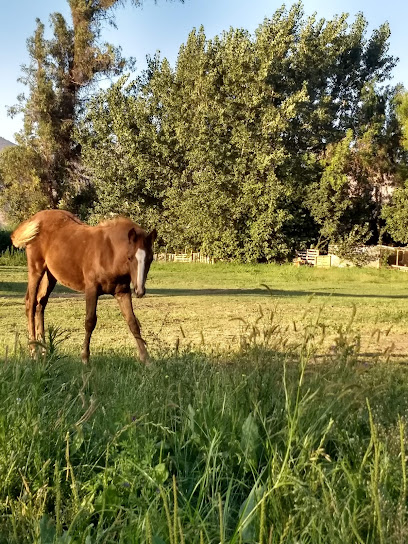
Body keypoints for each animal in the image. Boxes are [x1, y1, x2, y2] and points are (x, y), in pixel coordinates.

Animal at [11, 210, 156, 364]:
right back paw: (34, 351)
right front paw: (85, 358)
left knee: (40, 304)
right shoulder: (91, 289)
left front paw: (146, 359)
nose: (139, 291)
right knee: (31, 303)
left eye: (150, 258)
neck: (109, 253)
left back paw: (44, 350)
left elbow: (133, 322)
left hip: (50, 275)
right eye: (129, 257)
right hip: (36, 270)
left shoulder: (122, 292)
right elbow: (90, 321)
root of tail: (35, 219)